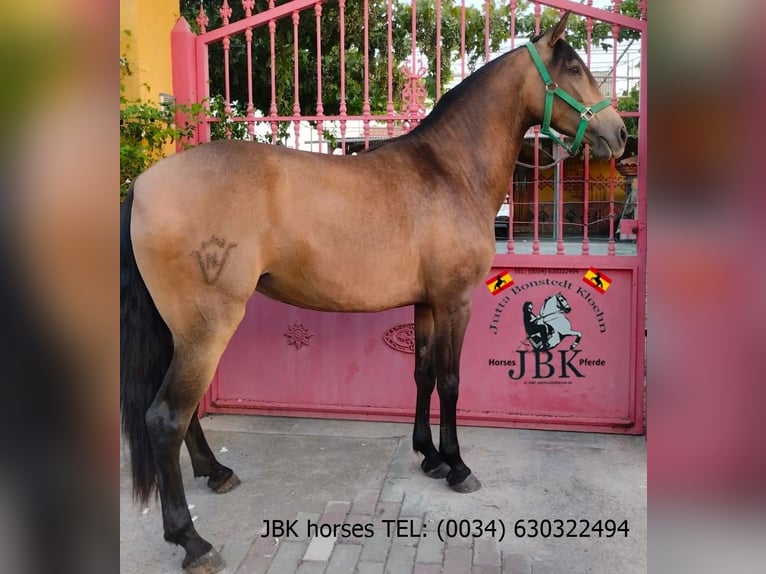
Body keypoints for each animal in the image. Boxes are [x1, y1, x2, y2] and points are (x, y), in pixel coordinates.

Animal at [120, 12, 626, 573]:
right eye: (574, 68)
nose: (620, 134)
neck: (450, 171)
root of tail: (144, 183)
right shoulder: (455, 301)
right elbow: (451, 381)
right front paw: (457, 466)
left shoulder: (426, 303)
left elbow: (423, 375)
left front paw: (429, 456)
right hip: (207, 329)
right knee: (166, 418)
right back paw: (191, 540)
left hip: (184, 333)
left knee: (183, 414)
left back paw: (215, 473)